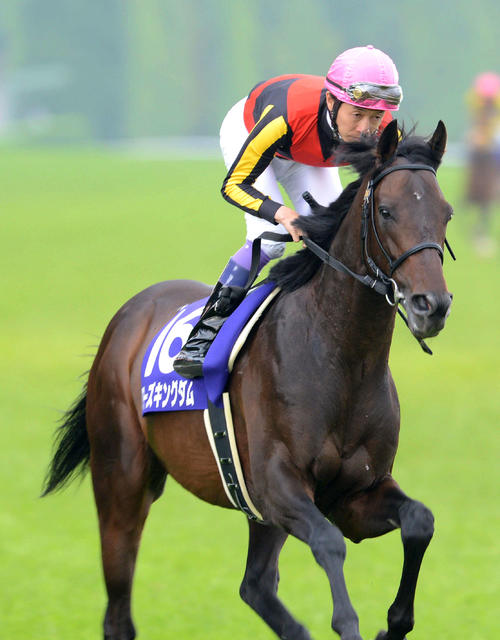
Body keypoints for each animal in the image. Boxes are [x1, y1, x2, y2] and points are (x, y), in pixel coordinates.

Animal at [43, 119, 454, 640]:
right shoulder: (279, 487)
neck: (341, 358)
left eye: (447, 213)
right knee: (119, 608)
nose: (431, 305)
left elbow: (421, 520)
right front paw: (350, 622)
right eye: (386, 211)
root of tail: (130, 313)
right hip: (122, 484)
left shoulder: (355, 495)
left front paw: (394, 622)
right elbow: (329, 543)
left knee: (254, 586)